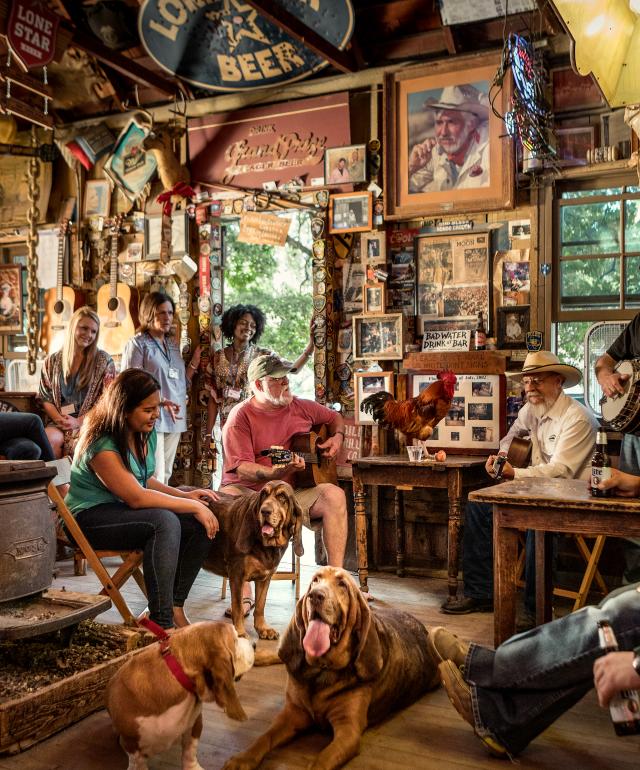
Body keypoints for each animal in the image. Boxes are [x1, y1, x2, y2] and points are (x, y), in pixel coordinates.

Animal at [106, 616, 254, 768]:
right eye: (235, 639)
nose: (254, 644)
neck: (178, 670)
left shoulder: (195, 724)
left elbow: (190, 751)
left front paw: (192, 767)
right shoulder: (132, 745)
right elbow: (138, 764)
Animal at [205, 476, 304, 640]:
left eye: (282, 497)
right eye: (264, 494)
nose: (265, 511)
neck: (266, 545)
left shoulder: (264, 578)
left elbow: (260, 605)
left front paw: (262, 628)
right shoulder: (237, 575)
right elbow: (238, 607)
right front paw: (239, 633)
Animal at [224, 564, 440, 768]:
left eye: (342, 584)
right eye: (315, 580)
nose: (315, 595)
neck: (321, 670)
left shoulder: (348, 731)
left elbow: (321, 760)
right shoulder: (293, 714)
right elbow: (264, 737)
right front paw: (242, 758)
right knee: (281, 655)